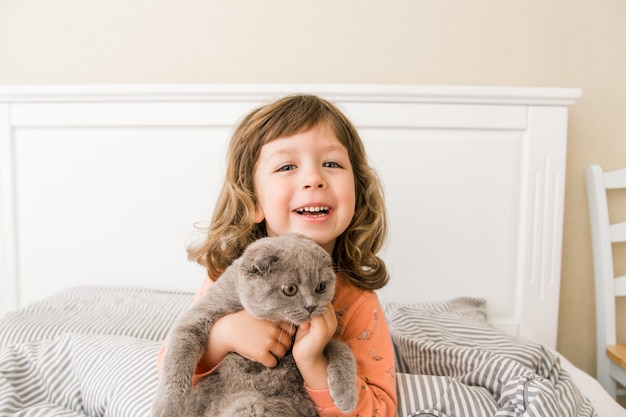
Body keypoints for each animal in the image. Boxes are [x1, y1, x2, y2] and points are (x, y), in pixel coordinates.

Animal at [151, 234, 356, 416]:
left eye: (320, 286)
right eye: (290, 289)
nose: (311, 306)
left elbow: (340, 347)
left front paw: (346, 395)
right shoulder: (196, 317)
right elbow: (177, 359)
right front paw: (167, 409)